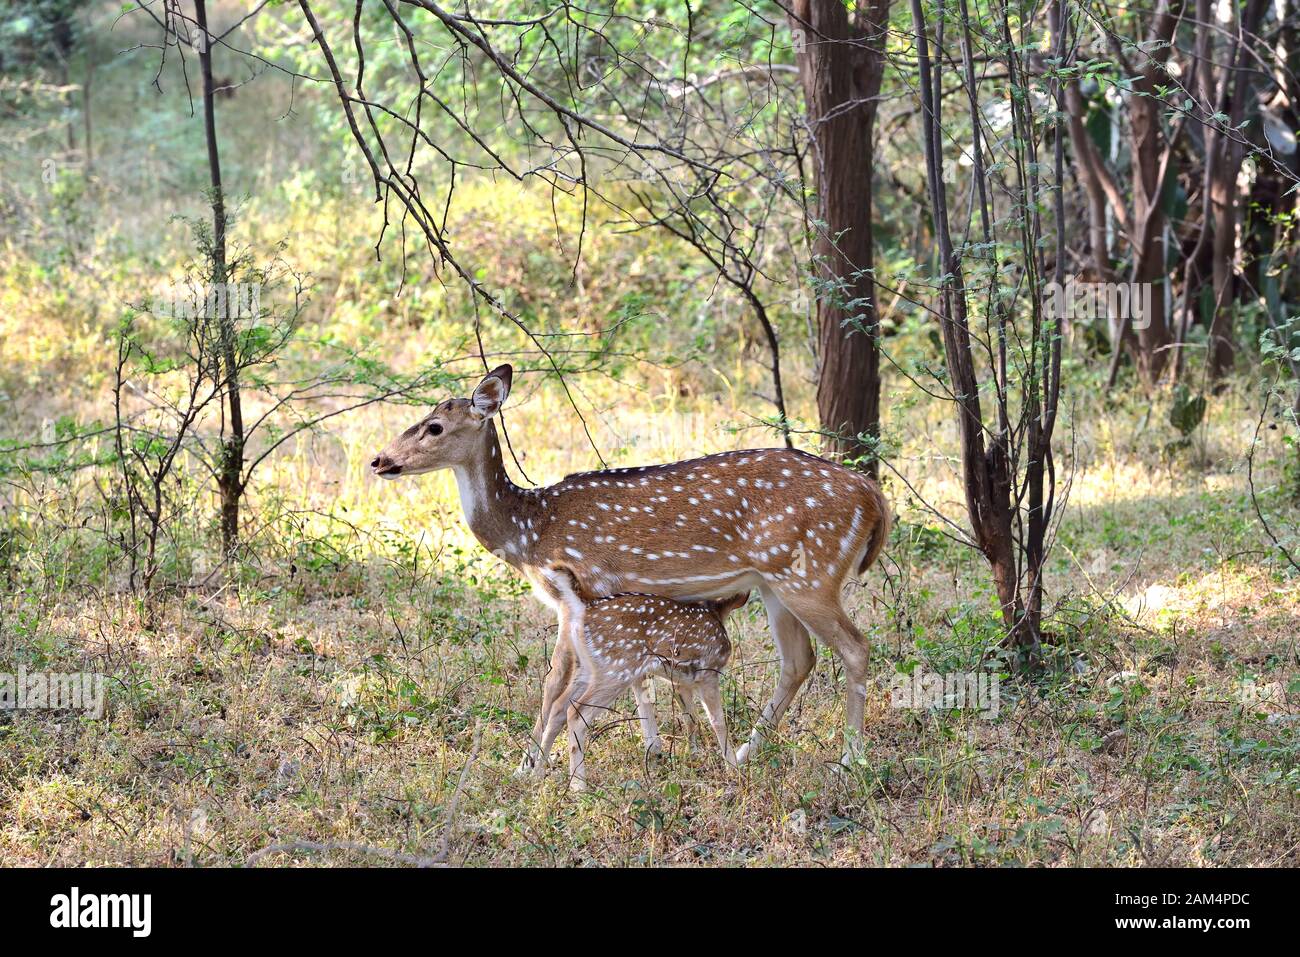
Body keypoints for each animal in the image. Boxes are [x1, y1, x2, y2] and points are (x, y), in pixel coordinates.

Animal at [371, 361, 889, 764]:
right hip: (773, 581)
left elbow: (557, 678)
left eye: (434, 427)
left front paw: (529, 764)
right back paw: (744, 753)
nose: (379, 460)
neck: (528, 533)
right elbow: (629, 678)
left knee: (855, 647)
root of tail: (873, 496)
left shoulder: (583, 587)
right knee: (799, 659)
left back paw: (851, 758)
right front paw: (655, 747)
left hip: (812, 573)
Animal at [527, 566, 748, 790]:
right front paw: (733, 767)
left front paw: (693, 755)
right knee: (575, 714)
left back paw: (538, 773)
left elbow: (691, 719)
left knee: (558, 708)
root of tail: (583, 608)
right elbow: (717, 721)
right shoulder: (708, 673)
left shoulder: (680, 681)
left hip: (587, 669)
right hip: (616, 669)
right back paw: (579, 786)